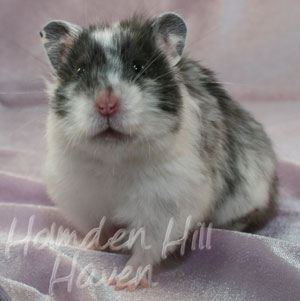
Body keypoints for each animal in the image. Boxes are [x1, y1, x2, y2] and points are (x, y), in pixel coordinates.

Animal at [41, 12, 278, 290]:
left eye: (138, 67)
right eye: (80, 70)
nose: (106, 104)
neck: (116, 160)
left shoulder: (166, 206)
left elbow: (149, 247)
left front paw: (123, 282)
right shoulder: (80, 197)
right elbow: (96, 229)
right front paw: (89, 246)